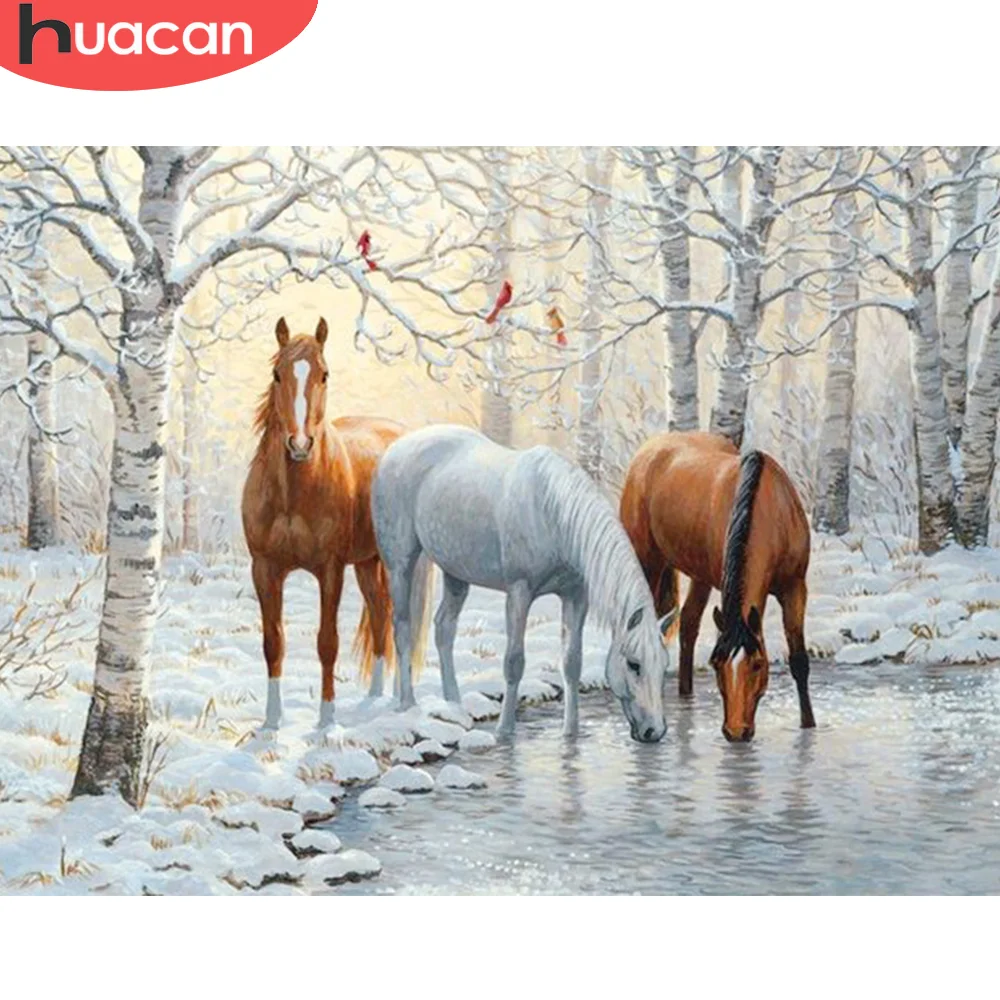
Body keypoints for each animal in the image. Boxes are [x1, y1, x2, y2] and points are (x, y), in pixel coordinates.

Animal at [241, 317, 428, 732]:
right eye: (277, 374)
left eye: (324, 374)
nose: (299, 445)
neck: (294, 496)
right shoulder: (264, 569)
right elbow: (272, 643)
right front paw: (271, 723)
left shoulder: (330, 569)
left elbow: (327, 642)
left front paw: (326, 721)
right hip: (367, 563)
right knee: (380, 616)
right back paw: (375, 695)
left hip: (396, 563)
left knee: (402, 622)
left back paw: (403, 700)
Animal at [372, 424, 678, 742]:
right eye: (634, 664)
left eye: (664, 664)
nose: (654, 731)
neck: (553, 513)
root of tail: (397, 447)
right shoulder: (519, 593)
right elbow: (514, 662)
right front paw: (505, 730)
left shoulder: (575, 595)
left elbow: (572, 663)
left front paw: (571, 731)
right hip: (400, 565)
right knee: (402, 628)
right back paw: (407, 704)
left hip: (456, 572)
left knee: (444, 627)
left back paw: (454, 703)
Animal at [620, 431, 814, 743]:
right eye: (716, 664)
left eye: (758, 664)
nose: (736, 731)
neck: (771, 509)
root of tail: (651, 447)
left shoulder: (795, 587)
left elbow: (799, 660)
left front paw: (809, 725)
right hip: (647, 561)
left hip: (700, 576)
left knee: (688, 623)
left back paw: (686, 695)